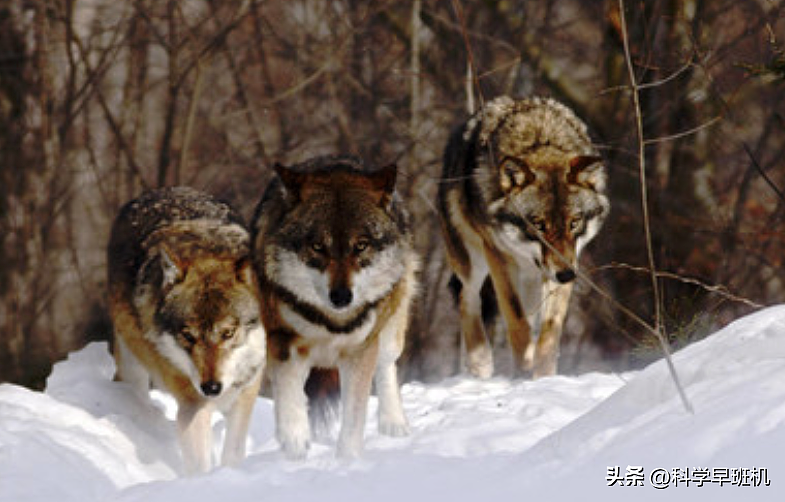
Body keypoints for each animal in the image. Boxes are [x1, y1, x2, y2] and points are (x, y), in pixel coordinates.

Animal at [107, 186, 266, 472]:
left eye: (228, 333)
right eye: (188, 336)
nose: (211, 388)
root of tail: (156, 192)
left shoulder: (245, 394)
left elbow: (233, 453)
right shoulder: (194, 406)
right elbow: (200, 465)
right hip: (131, 365)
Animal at [253, 156, 420, 458]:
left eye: (361, 246)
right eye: (318, 247)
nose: (342, 297)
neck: (331, 322)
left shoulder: (360, 350)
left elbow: (354, 417)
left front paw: (348, 459)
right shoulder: (283, 343)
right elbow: (290, 397)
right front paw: (294, 444)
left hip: (390, 332)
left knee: (387, 365)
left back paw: (393, 423)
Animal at [438, 97, 608, 380]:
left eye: (574, 223)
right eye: (538, 225)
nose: (566, 275)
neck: (540, 140)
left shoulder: (570, 261)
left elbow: (550, 330)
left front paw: (543, 377)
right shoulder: (498, 255)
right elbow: (515, 318)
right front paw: (525, 363)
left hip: (533, 280)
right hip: (472, 262)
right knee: (467, 298)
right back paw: (480, 362)